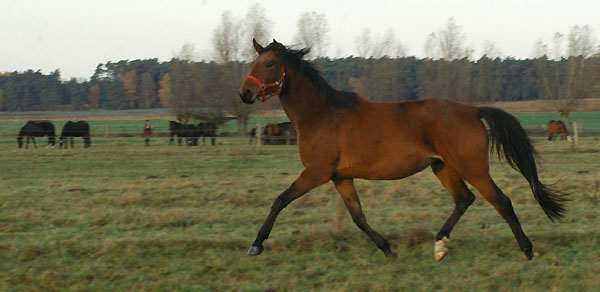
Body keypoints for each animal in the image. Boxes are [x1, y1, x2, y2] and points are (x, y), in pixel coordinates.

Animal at [239, 38, 568, 260]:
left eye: (269, 64)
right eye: (253, 64)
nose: (245, 93)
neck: (322, 114)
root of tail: (473, 110)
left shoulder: (316, 172)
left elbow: (280, 201)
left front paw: (256, 244)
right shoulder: (340, 177)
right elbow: (358, 217)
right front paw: (388, 249)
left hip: (473, 168)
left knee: (501, 201)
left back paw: (528, 250)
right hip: (442, 167)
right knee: (464, 199)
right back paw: (439, 245)